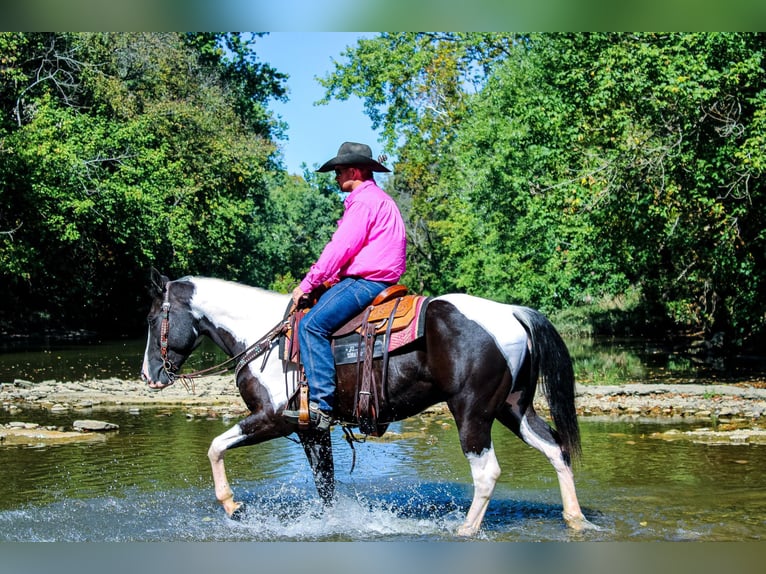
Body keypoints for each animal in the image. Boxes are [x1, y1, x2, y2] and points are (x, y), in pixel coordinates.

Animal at [141, 272, 596, 536]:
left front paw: (232, 504)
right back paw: (575, 518)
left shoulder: (273, 418)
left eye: (151, 319)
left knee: (487, 472)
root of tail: (512, 313)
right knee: (556, 448)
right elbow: (325, 485)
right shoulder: (311, 430)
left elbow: (215, 446)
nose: (149, 375)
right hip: (513, 408)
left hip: (472, 412)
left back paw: (465, 530)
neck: (263, 337)